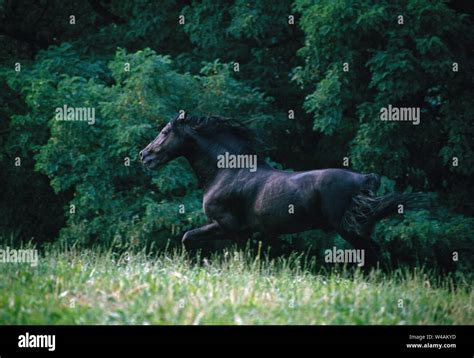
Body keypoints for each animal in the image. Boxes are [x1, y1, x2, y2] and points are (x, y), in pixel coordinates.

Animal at [140, 113, 422, 268]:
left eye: (165, 131)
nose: (144, 155)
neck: (227, 172)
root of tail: (365, 178)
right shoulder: (242, 233)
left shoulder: (226, 226)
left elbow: (187, 237)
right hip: (359, 228)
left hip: (350, 230)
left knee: (373, 255)